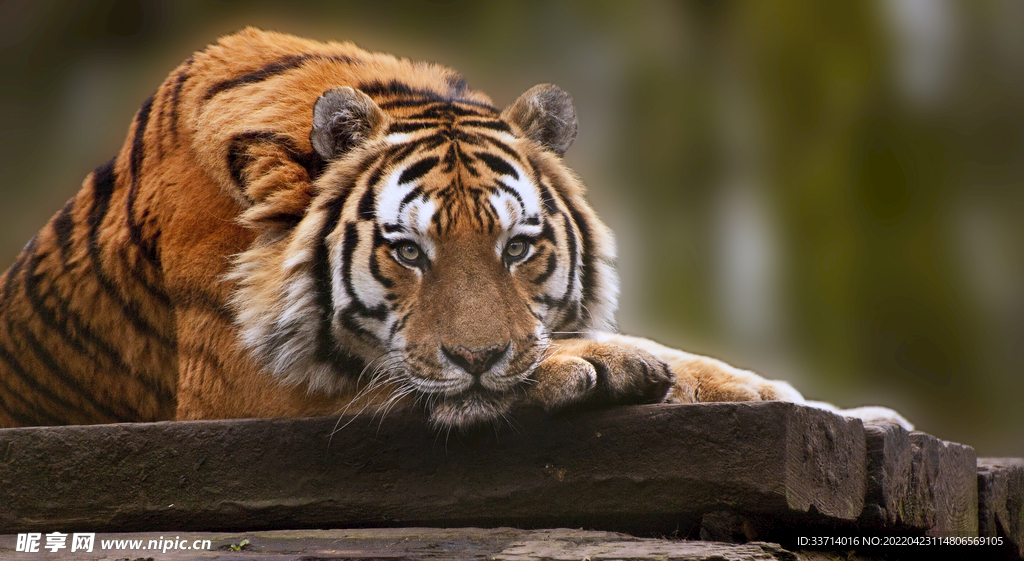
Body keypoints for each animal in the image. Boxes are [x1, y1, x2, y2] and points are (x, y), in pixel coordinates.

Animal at [0, 28, 910, 431]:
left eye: (519, 247)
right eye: (407, 252)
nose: (479, 357)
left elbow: (692, 361)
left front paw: (844, 412)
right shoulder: (239, 389)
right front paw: (599, 365)